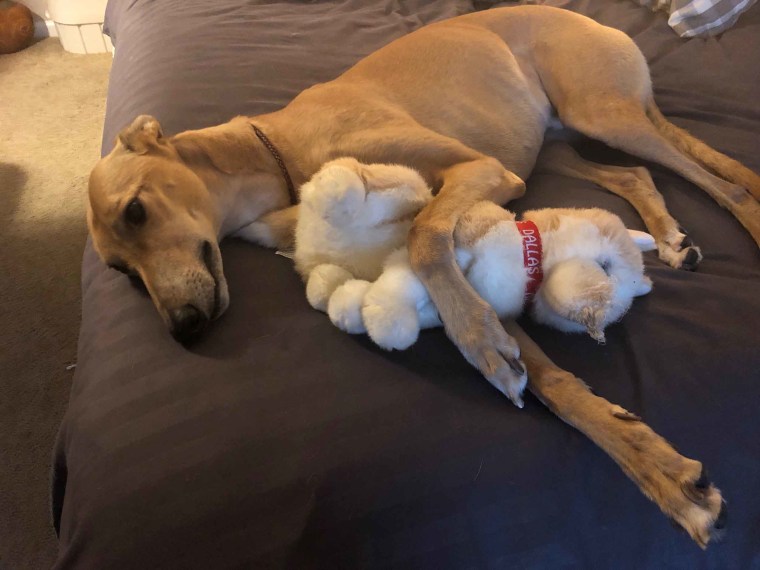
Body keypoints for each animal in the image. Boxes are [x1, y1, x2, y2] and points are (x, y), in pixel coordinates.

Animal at [87, 6, 756, 544]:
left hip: (600, 114)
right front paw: (658, 468)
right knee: (636, 176)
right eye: (120, 272)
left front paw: (481, 347)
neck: (276, 154)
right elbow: (544, 375)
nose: (184, 328)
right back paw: (669, 235)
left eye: (136, 210)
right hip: (553, 148)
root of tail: (583, 17)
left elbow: (426, 239)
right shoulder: (485, 225)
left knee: (718, 180)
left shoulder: (479, 172)